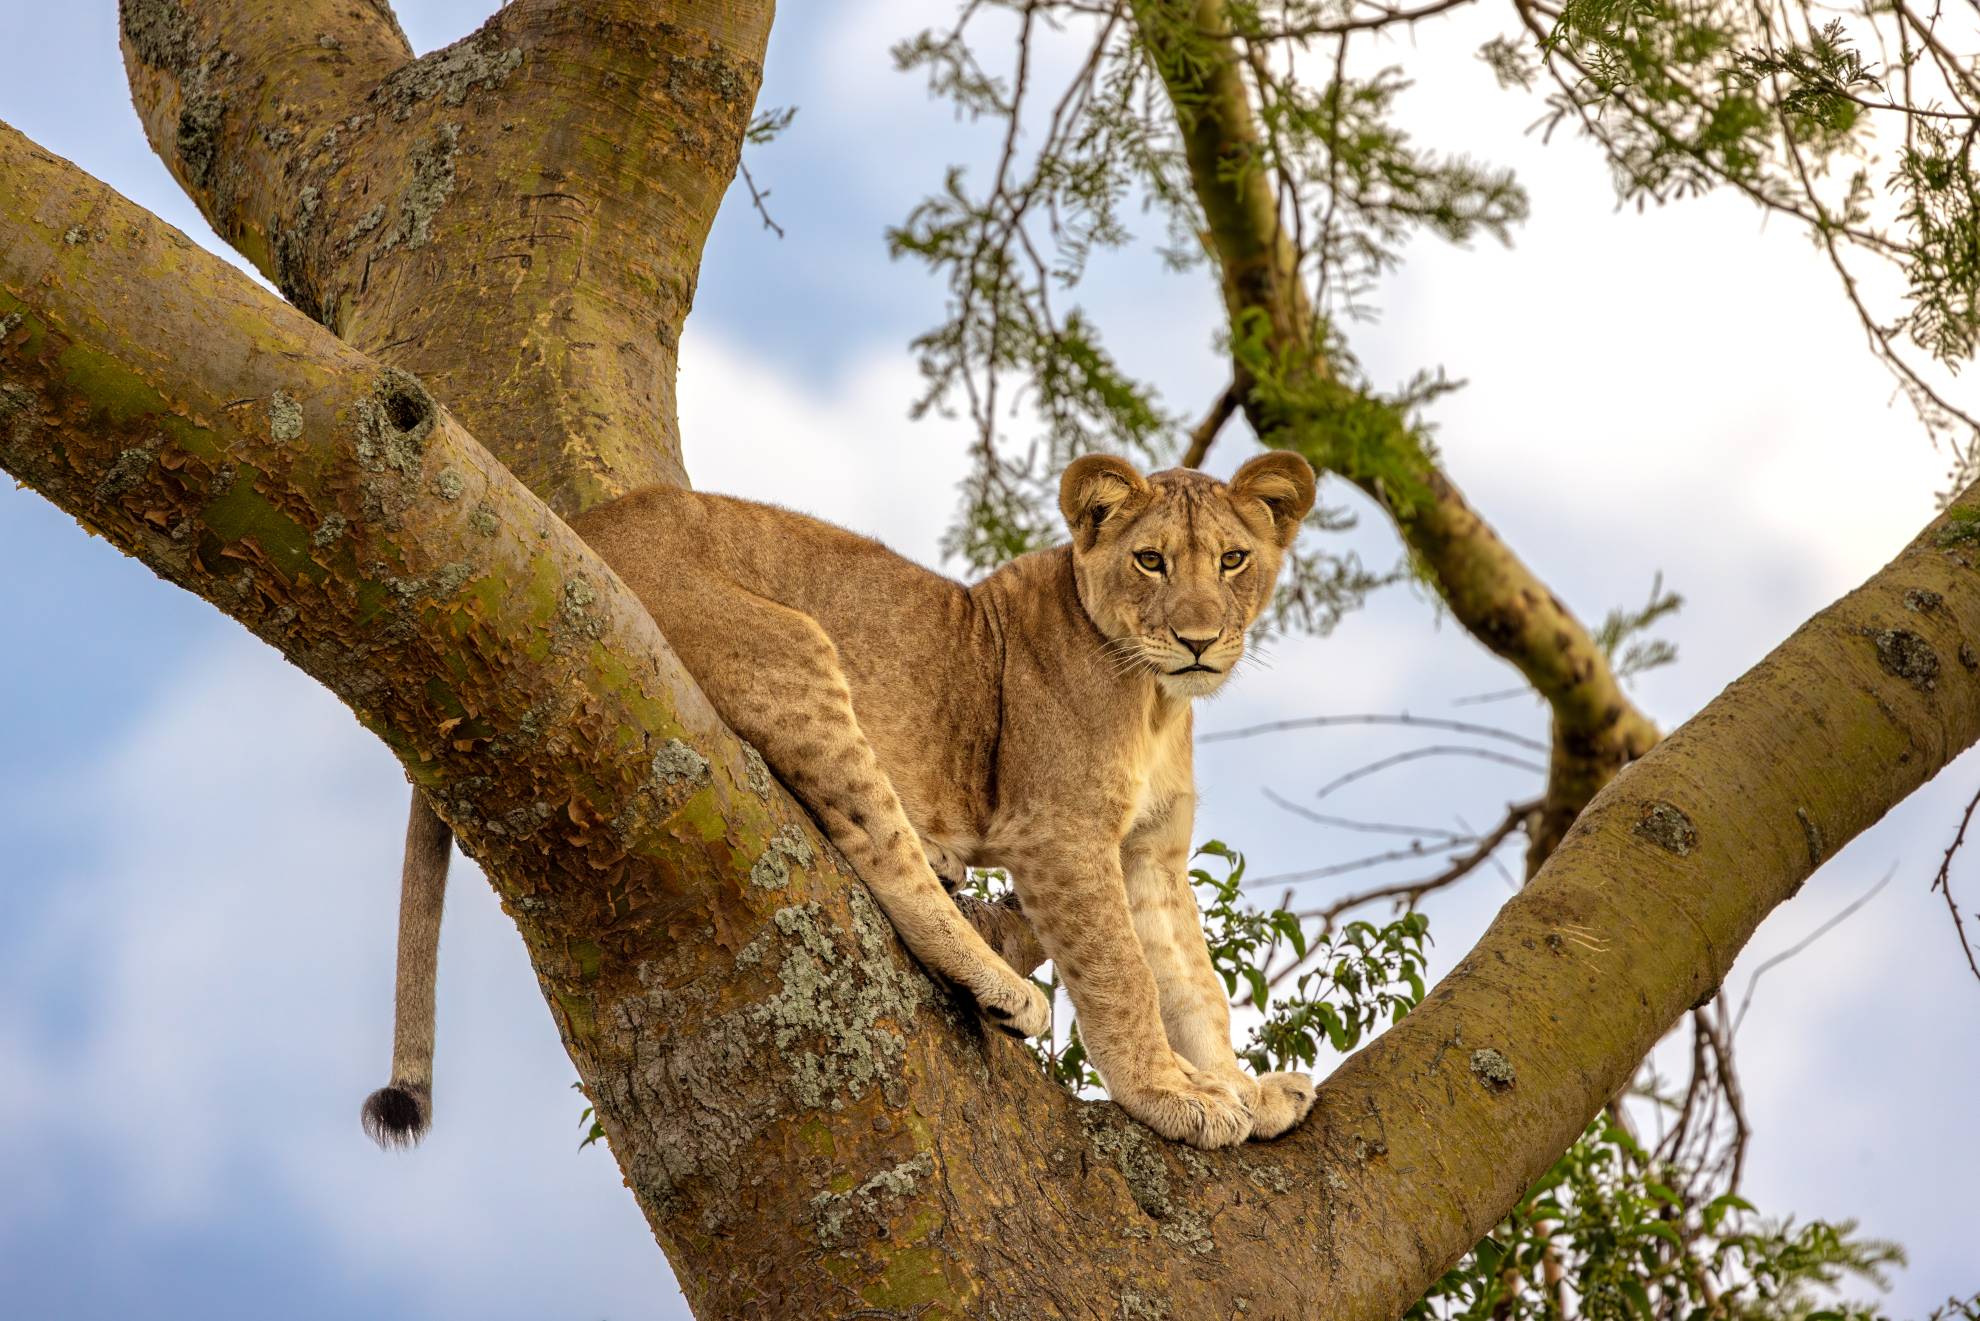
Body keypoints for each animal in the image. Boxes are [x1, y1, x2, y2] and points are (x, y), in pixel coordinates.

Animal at [362, 451, 1320, 1150]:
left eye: (1233, 560)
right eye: (1150, 560)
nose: (1198, 640)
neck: (1158, 702)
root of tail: (574, 524)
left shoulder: (1149, 851)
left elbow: (1192, 981)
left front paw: (1240, 1085)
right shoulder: (1059, 832)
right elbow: (1124, 975)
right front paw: (1170, 1096)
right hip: (792, 645)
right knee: (874, 844)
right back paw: (996, 980)